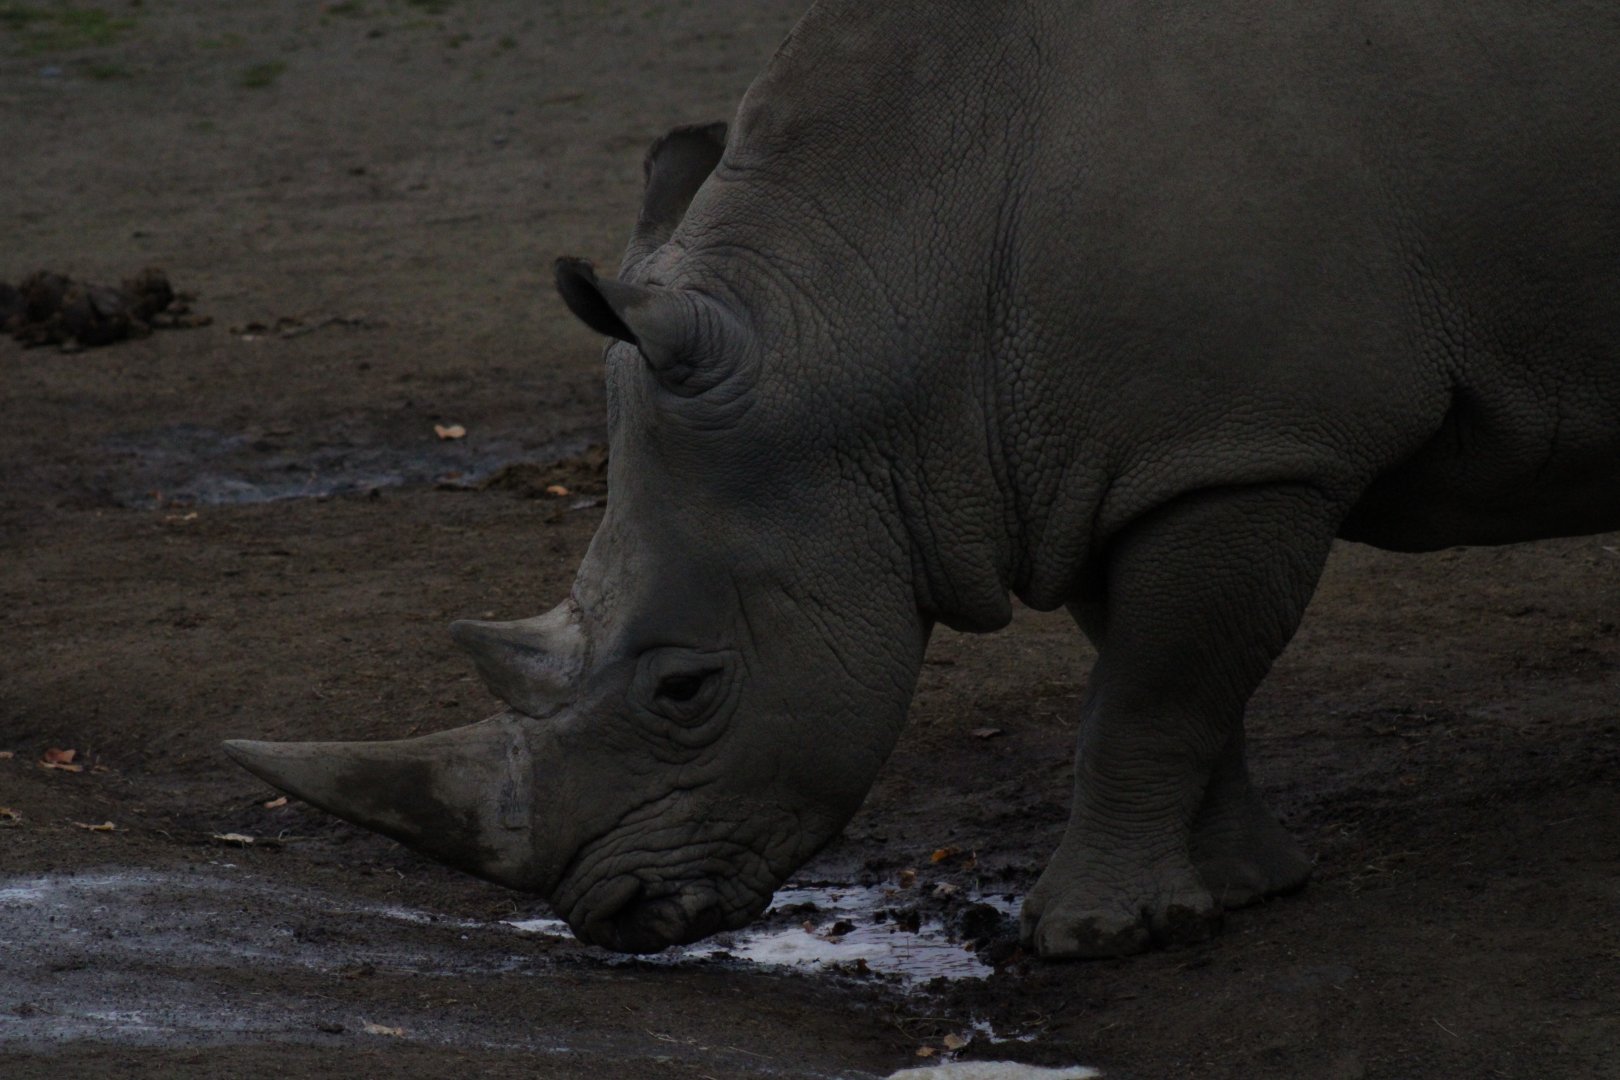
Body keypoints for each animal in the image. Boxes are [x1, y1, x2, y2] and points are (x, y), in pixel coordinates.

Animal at [224, 1, 1620, 959]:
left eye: (686, 691)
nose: (611, 915)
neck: (881, 295)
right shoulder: (1119, 454)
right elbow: (1168, 679)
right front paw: (1235, 893)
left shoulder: (1251, 447)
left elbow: (1156, 692)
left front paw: (1090, 938)